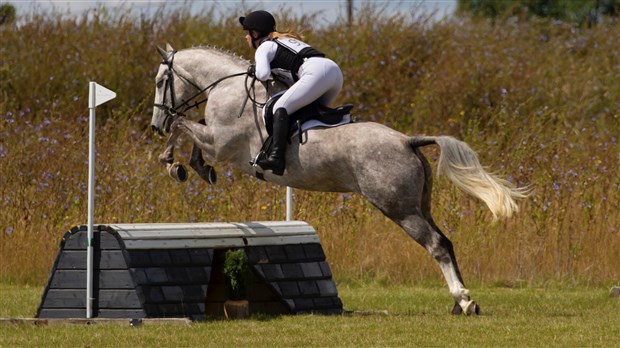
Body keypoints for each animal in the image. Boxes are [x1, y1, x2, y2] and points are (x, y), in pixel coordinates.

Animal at [149, 43, 528, 316]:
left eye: (161, 82)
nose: (155, 125)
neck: (227, 86)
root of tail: (407, 140)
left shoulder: (221, 143)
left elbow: (184, 126)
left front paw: (173, 164)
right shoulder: (214, 139)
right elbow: (190, 131)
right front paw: (193, 167)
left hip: (398, 208)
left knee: (435, 244)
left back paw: (464, 300)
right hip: (418, 204)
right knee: (445, 241)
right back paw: (459, 302)